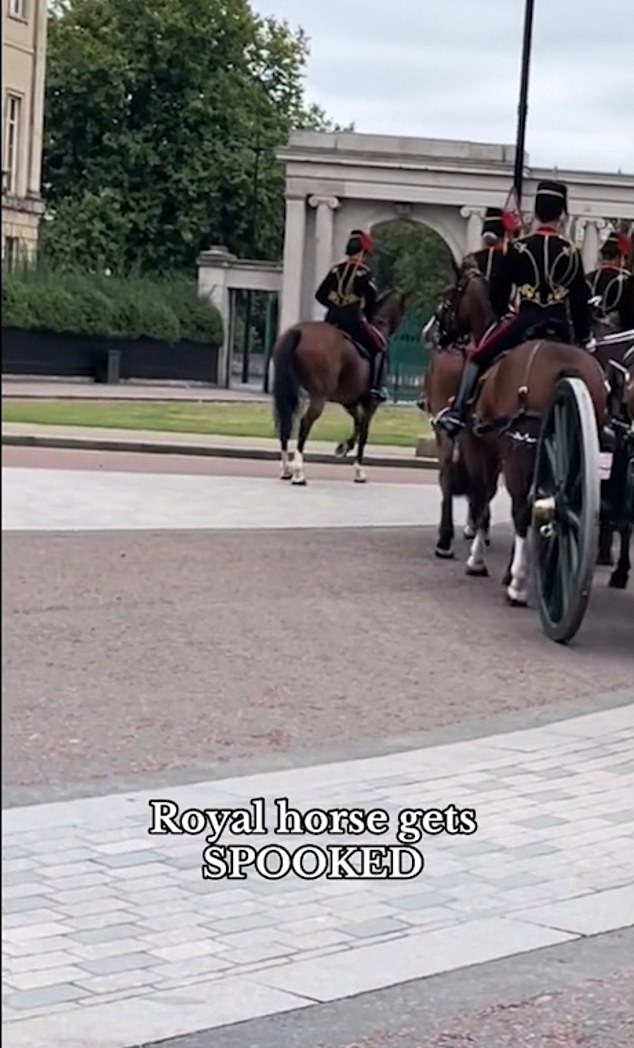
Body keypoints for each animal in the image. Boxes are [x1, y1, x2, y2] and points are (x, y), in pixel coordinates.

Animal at [270, 291, 402, 486]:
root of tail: (298, 332)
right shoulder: (371, 403)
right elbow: (364, 431)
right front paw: (359, 470)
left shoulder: (349, 401)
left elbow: (357, 423)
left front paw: (344, 447)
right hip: (318, 397)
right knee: (305, 423)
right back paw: (298, 472)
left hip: (288, 391)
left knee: (285, 424)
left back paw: (287, 469)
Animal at [431, 259, 607, 607]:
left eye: (448, 295)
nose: (435, 334)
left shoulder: (480, 448)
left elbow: (482, 497)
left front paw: (478, 560)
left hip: (518, 450)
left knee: (523, 508)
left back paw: (518, 586)